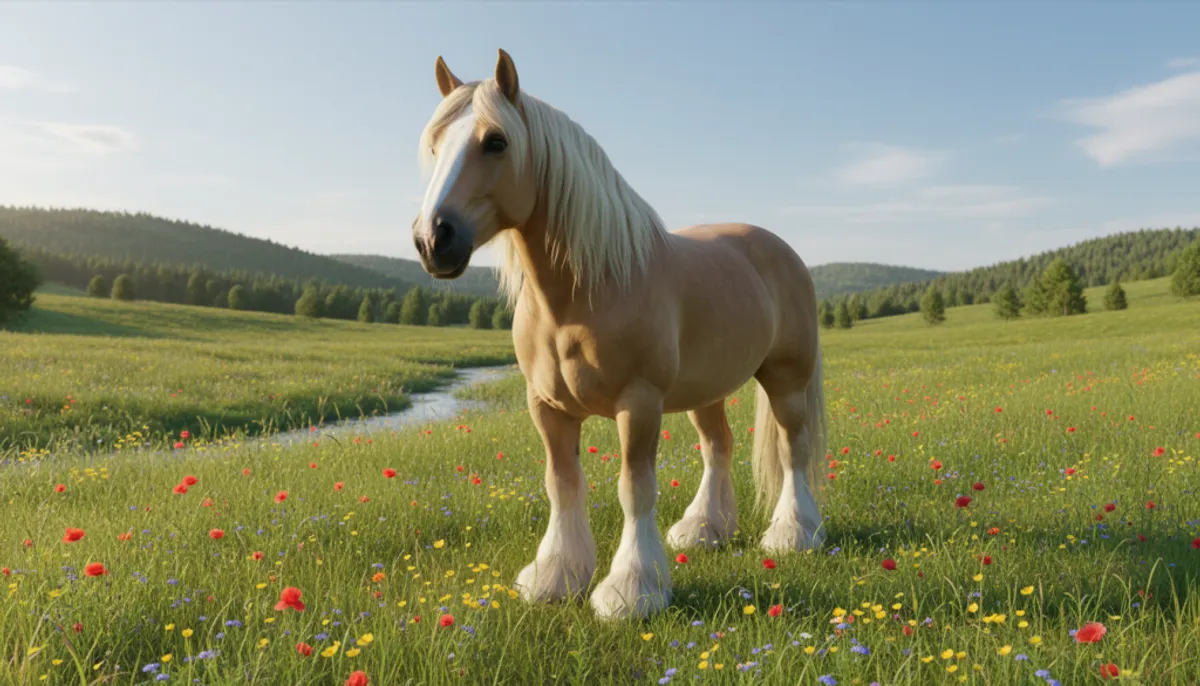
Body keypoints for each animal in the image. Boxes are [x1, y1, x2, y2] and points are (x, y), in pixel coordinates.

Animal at [411, 49, 827, 620]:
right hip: (707, 390)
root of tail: (783, 251)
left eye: (496, 141)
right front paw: (555, 577)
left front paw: (632, 590)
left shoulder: (639, 404)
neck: (584, 293)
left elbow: (635, 489)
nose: (433, 240)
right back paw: (705, 530)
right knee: (717, 445)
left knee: (793, 449)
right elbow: (562, 485)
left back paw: (793, 533)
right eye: (433, 144)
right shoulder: (547, 407)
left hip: (786, 378)